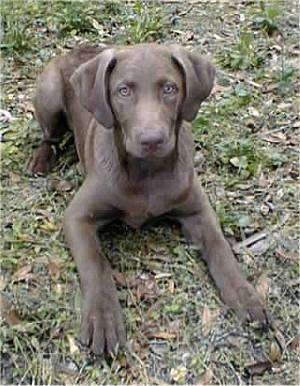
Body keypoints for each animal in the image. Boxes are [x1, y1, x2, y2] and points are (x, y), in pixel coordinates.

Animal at [28, 43, 268, 354]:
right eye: (123, 91)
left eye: (169, 88)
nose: (152, 140)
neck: (147, 173)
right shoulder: (78, 217)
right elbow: (96, 263)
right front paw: (103, 318)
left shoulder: (198, 211)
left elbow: (220, 248)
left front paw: (244, 294)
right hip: (49, 94)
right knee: (49, 136)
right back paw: (41, 160)